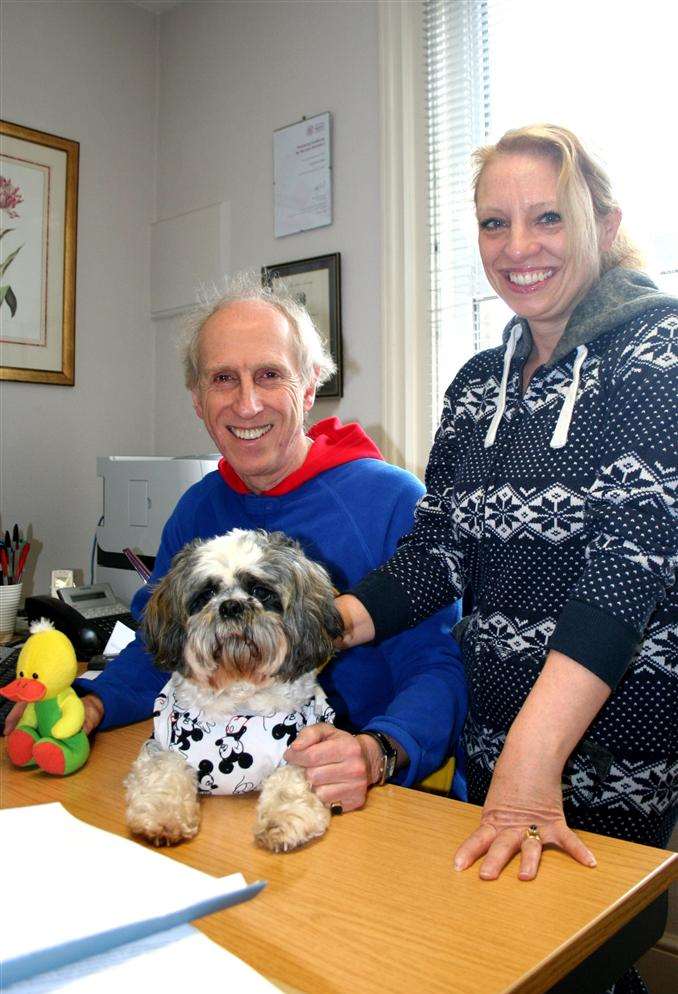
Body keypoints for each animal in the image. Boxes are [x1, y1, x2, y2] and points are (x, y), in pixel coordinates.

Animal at [124, 532, 342, 848]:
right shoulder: (162, 744)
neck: (239, 693)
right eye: (206, 595)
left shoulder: (306, 748)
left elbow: (290, 782)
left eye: (260, 591)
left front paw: (282, 820)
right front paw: (163, 816)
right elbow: (163, 773)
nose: (230, 606)